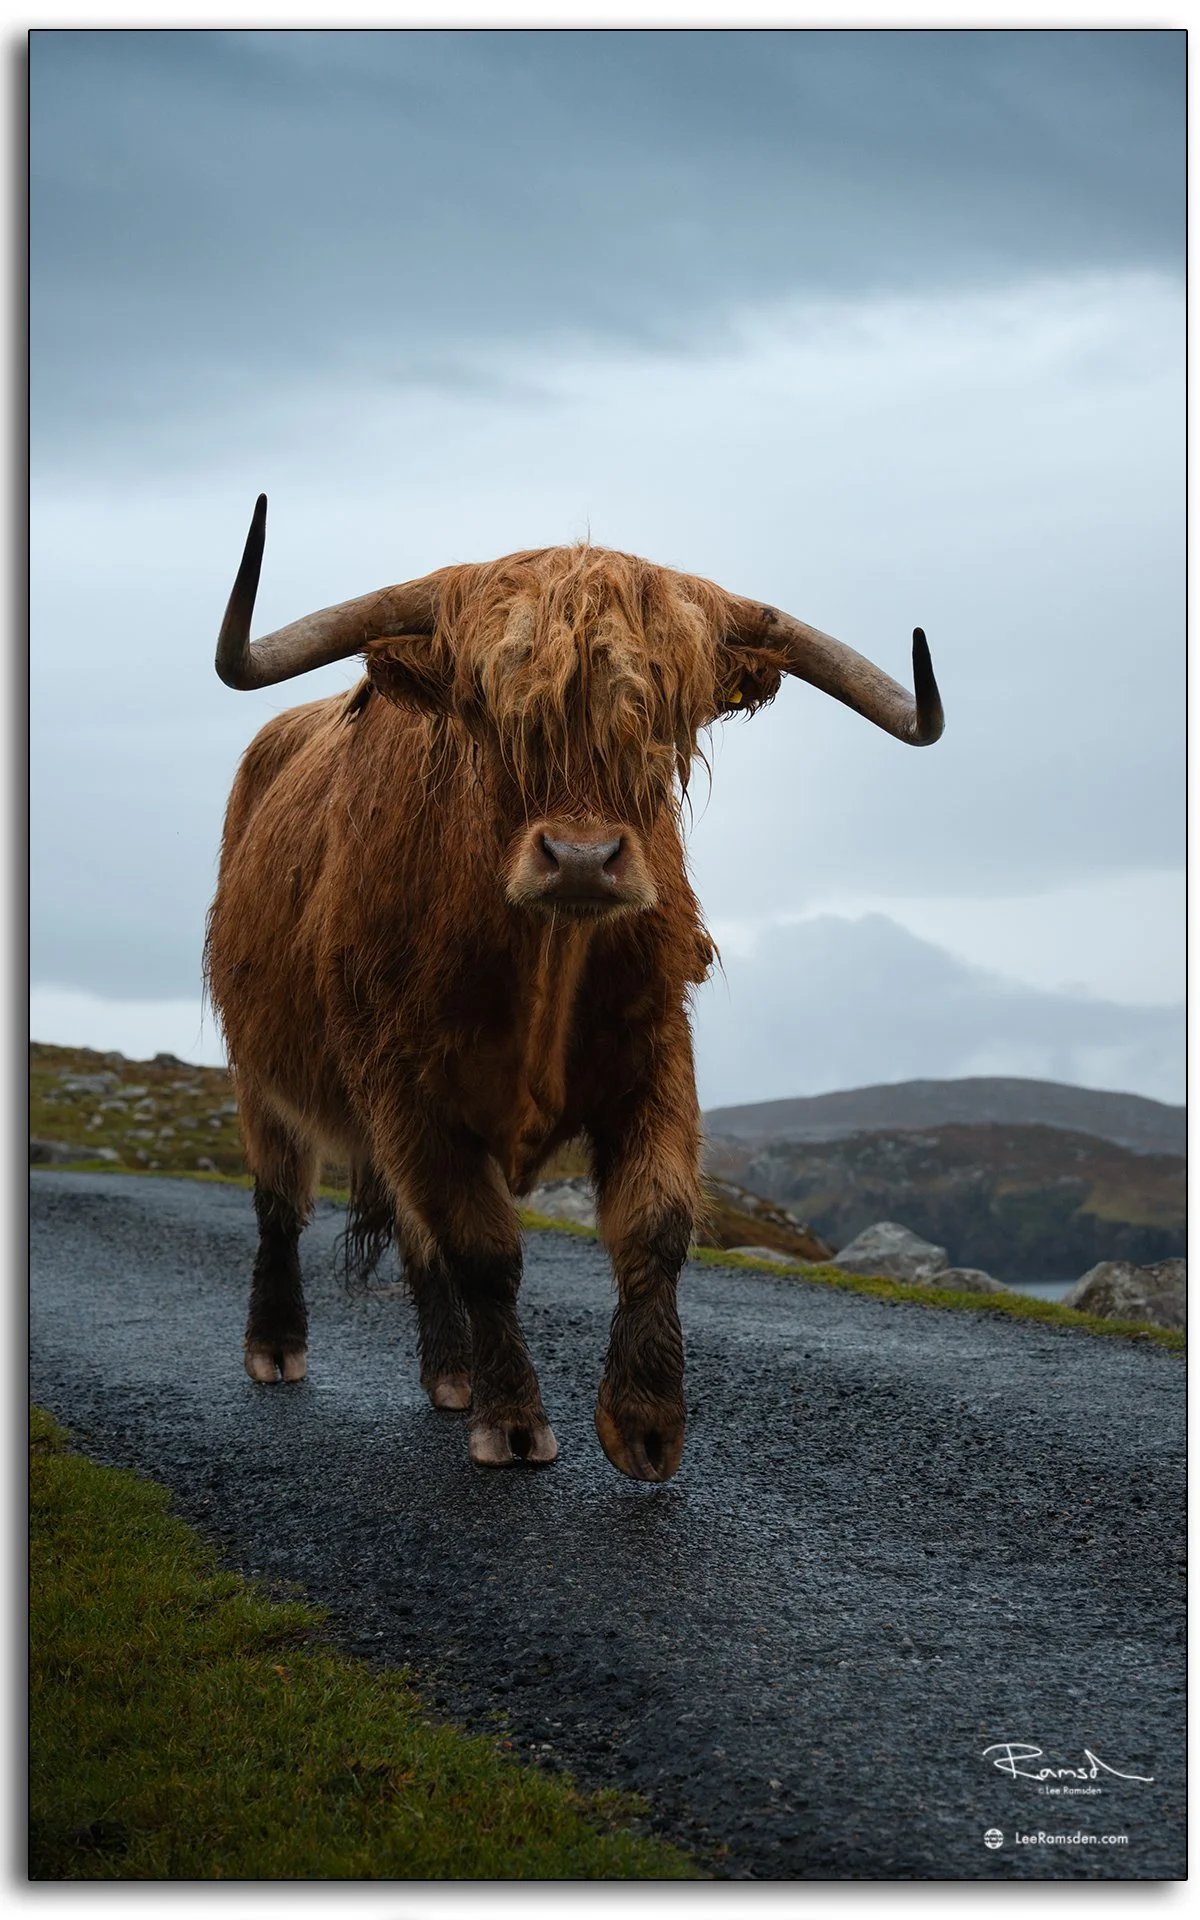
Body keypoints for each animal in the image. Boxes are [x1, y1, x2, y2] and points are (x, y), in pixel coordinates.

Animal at [205, 496, 942, 1481]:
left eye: (665, 720)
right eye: (491, 716)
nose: (584, 859)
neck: (542, 971)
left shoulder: (657, 1054)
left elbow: (654, 1224)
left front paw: (647, 1421)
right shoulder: (403, 1082)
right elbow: (483, 1249)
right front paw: (515, 1423)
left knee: (413, 1236)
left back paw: (451, 1373)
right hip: (261, 1076)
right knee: (281, 1205)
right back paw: (278, 1347)